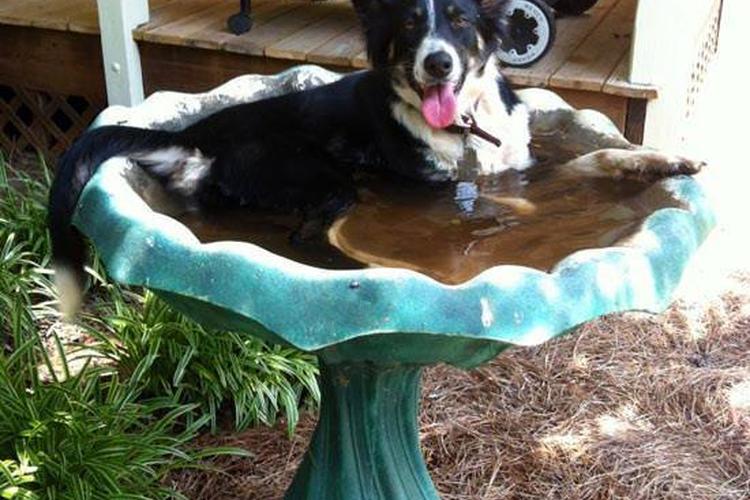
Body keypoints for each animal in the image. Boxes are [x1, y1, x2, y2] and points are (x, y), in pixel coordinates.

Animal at [48, 0, 702, 316]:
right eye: (410, 25)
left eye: (460, 21)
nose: (436, 63)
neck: (466, 125)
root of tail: (199, 137)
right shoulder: (430, 188)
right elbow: (525, 203)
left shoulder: (522, 163)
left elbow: (594, 160)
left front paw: (665, 161)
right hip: (325, 181)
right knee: (306, 241)